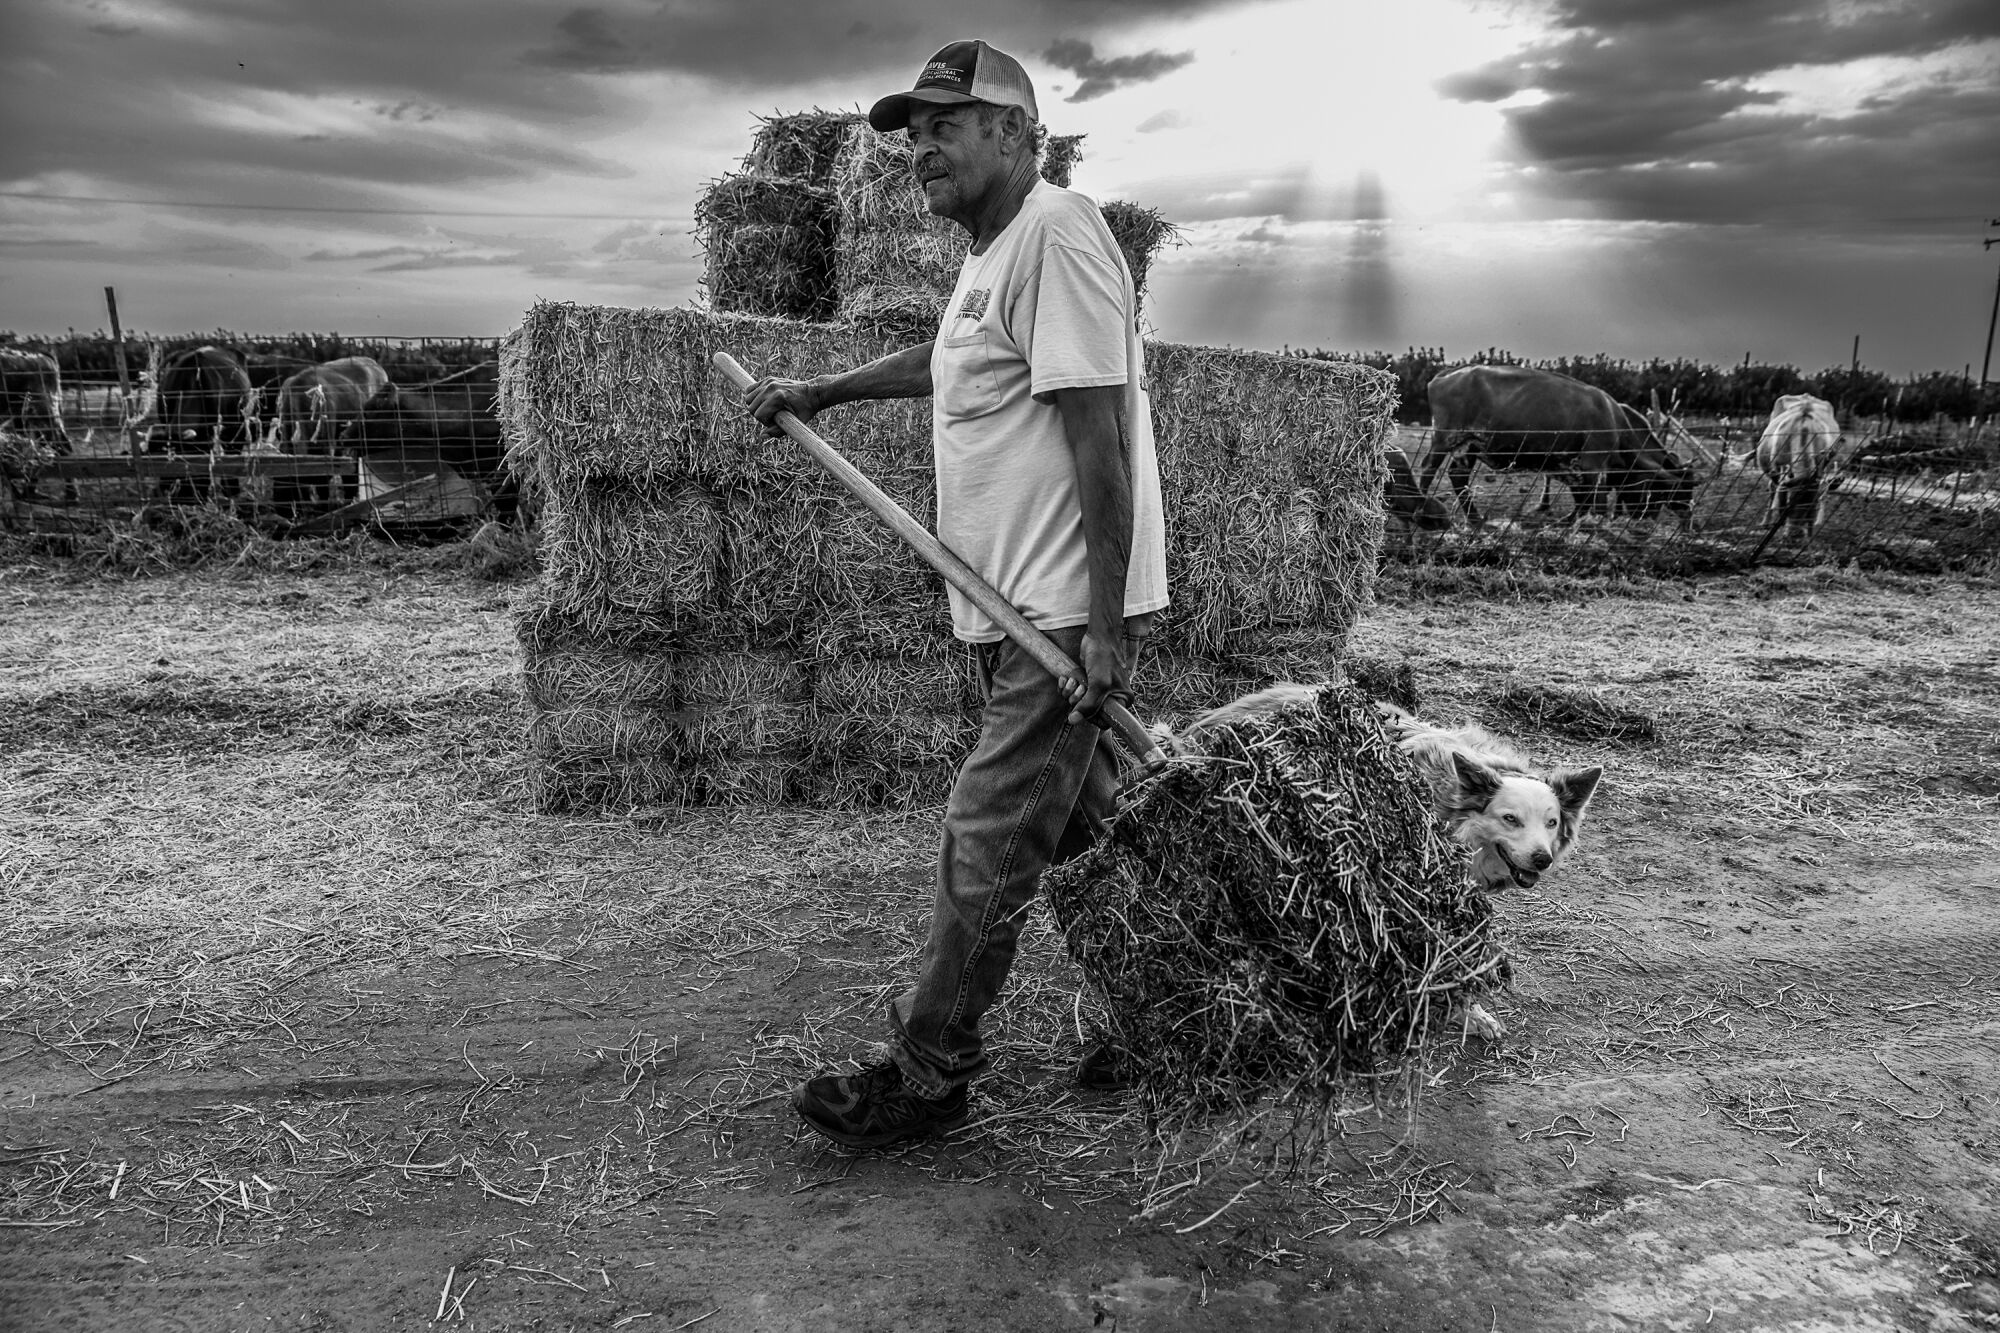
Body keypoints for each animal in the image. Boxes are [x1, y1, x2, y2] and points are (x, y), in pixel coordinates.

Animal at [1432, 368, 1696, 528]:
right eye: (1676, 490)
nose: (1688, 519)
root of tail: (1445, 376)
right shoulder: (1592, 465)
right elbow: (1592, 502)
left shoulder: (1575, 468)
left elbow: (1584, 498)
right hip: (1444, 439)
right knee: (1428, 469)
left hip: (1469, 446)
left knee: (1458, 477)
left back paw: (1475, 519)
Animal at [1752, 394, 1840, 560]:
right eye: (1788, 505)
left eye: (1810, 507)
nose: (1795, 536)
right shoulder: (1779, 471)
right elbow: (1778, 500)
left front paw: (1809, 539)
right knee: (1771, 491)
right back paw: (1766, 521)